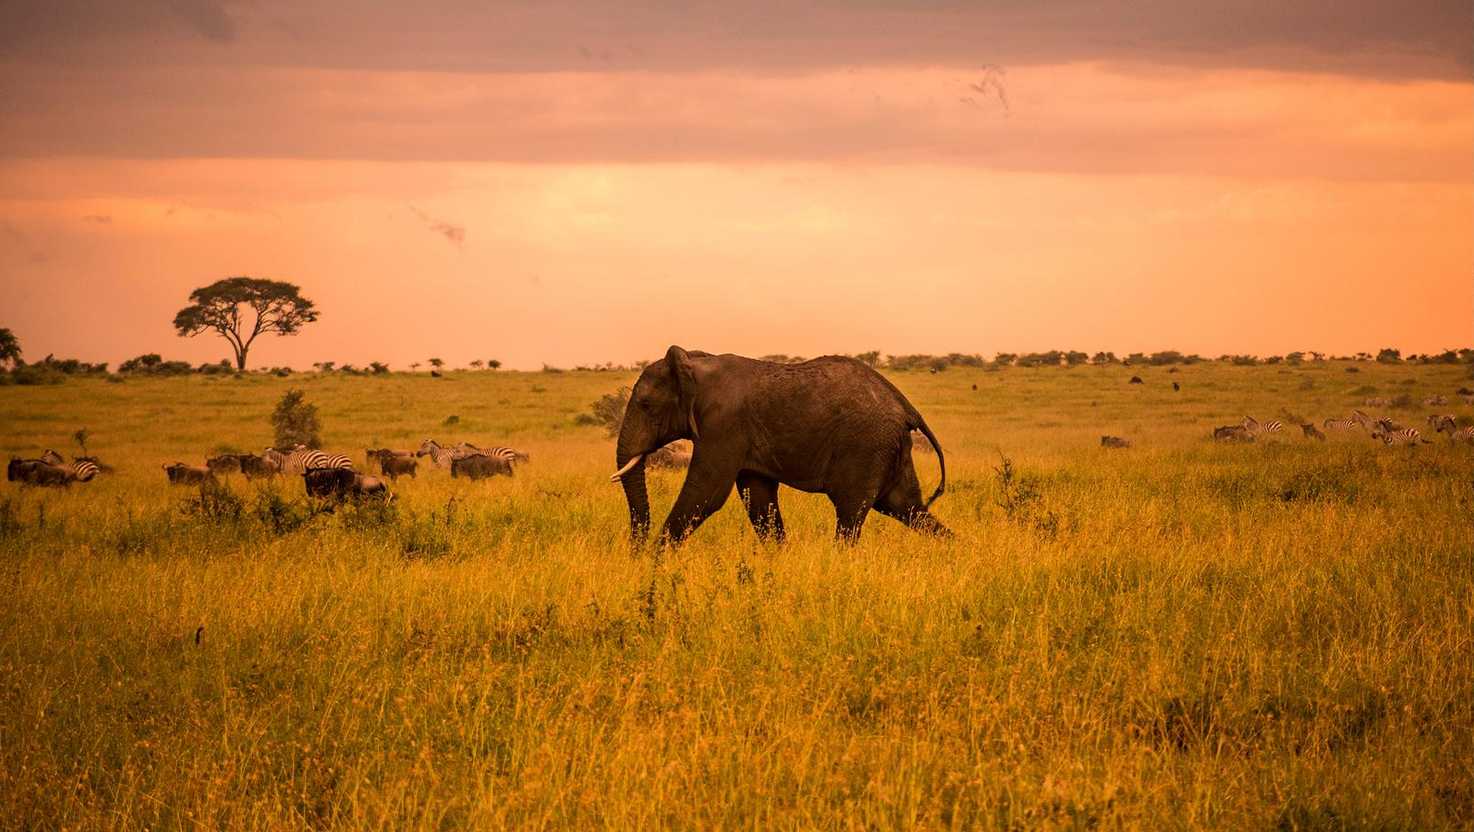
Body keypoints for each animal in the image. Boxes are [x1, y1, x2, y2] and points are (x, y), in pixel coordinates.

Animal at [607, 346, 943, 545]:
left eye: (646, 405)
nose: (635, 549)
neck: (695, 363)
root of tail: (907, 407)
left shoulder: (723, 425)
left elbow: (706, 493)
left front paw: (654, 561)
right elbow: (758, 500)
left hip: (866, 446)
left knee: (851, 514)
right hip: (889, 448)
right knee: (907, 508)